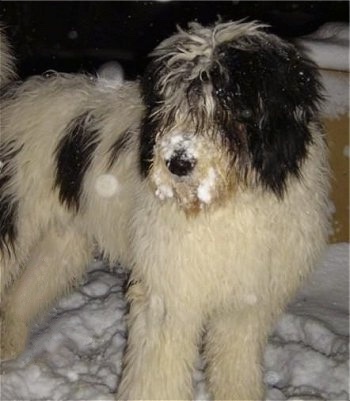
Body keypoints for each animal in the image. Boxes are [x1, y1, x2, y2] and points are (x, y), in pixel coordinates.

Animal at [0, 20, 330, 398]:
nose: (178, 162)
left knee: (29, 285)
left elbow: (236, 367)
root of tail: (12, 95)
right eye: (173, 105)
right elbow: (158, 372)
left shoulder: (247, 301)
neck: (228, 204)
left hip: (63, 241)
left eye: (229, 103)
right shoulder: (170, 293)